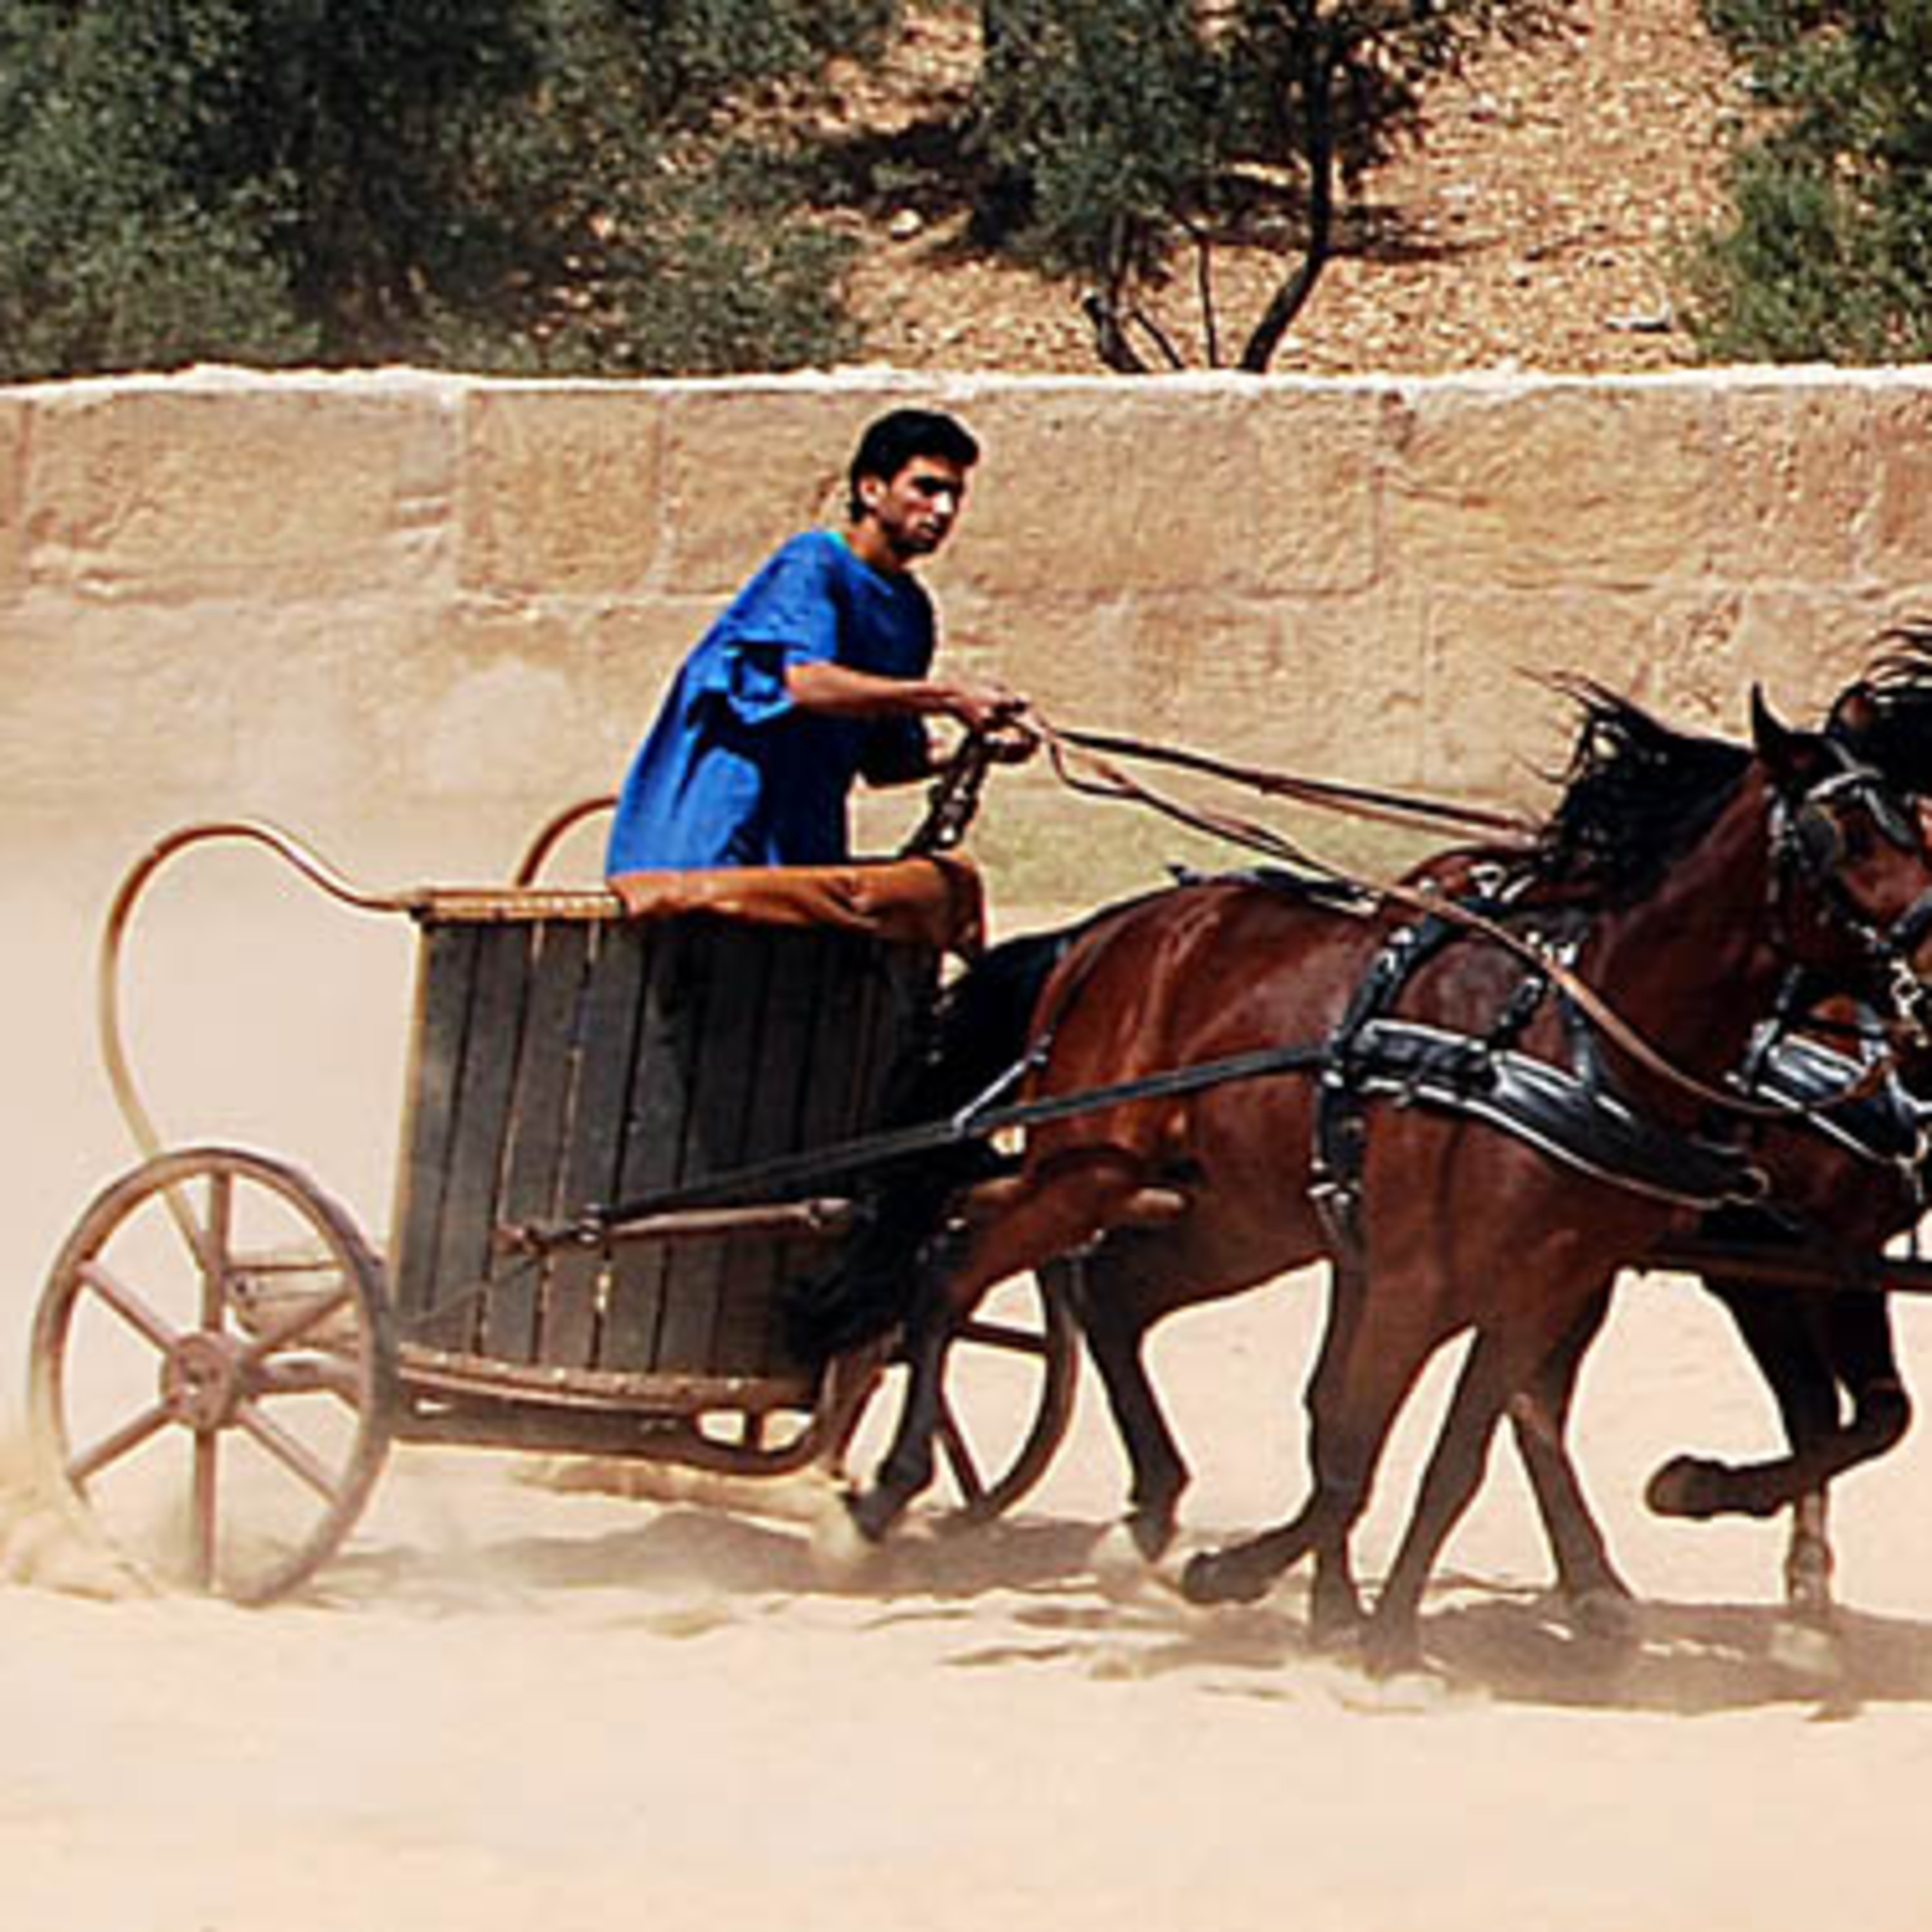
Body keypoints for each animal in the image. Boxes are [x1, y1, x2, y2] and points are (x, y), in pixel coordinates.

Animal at [800, 661, 1932, 1662]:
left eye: (1913, 822)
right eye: (1841, 834)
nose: (1927, 965)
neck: (1577, 1036)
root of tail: (1109, 932)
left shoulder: (1549, 1280)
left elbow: (1445, 1456)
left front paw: (1379, 1629)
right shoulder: (1459, 1275)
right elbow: (1350, 1450)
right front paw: (1278, 1588)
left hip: (1236, 1218)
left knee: (1111, 1294)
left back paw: (1161, 1518)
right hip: (1094, 1170)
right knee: (956, 1269)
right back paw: (886, 1496)